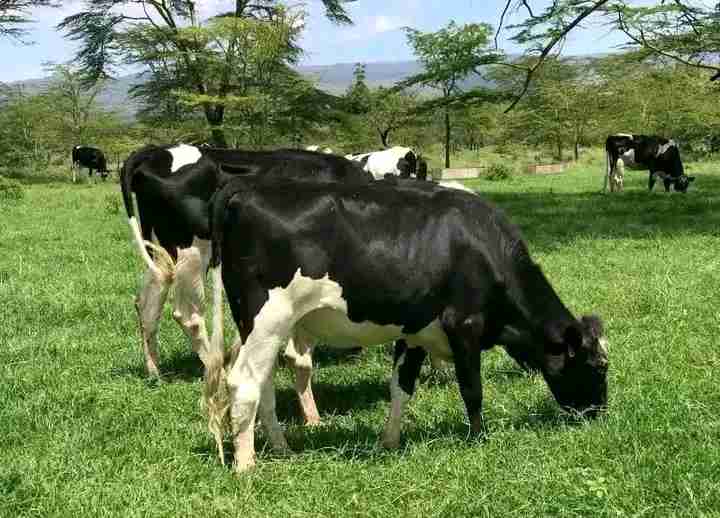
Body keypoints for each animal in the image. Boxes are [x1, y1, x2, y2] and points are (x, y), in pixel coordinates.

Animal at [120, 144, 373, 384]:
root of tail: (155, 152)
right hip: (191, 252)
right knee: (188, 315)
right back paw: (217, 370)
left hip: (160, 253)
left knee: (147, 303)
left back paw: (155, 372)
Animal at [205, 176, 609, 472]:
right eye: (598, 366)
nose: (599, 415)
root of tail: (246, 188)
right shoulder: (464, 324)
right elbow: (472, 389)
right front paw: (479, 439)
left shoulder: (416, 330)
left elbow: (401, 387)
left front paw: (390, 442)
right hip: (268, 318)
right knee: (243, 382)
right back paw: (246, 465)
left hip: (262, 327)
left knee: (263, 383)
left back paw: (282, 449)